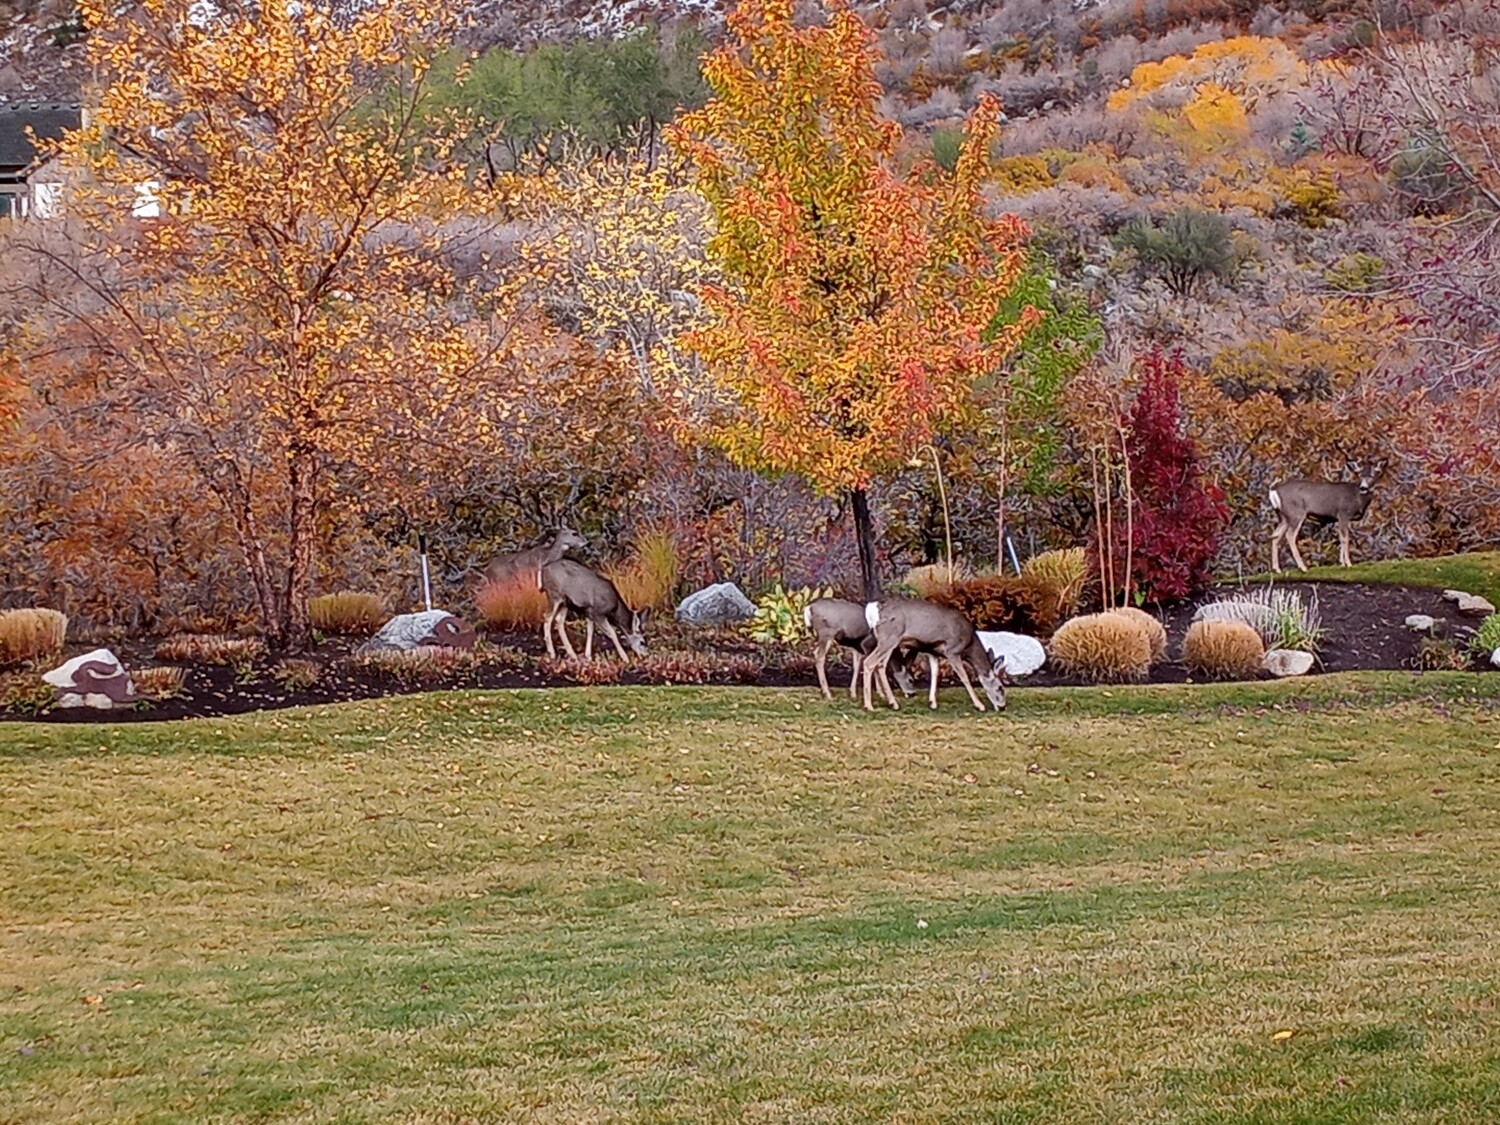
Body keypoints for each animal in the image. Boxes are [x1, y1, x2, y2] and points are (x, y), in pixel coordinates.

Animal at [860, 598, 1006, 714]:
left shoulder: (933, 652)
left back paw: (891, 703)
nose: (1003, 707)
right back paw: (870, 706)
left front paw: (932, 702)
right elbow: (964, 677)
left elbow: (935, 674)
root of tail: (874, 608)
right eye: (1000, 687)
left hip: (886, 641)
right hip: (890, 638)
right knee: (869, 662)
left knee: (880, 665)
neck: (969, 644)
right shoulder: (952, 651)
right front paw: (980, 705)